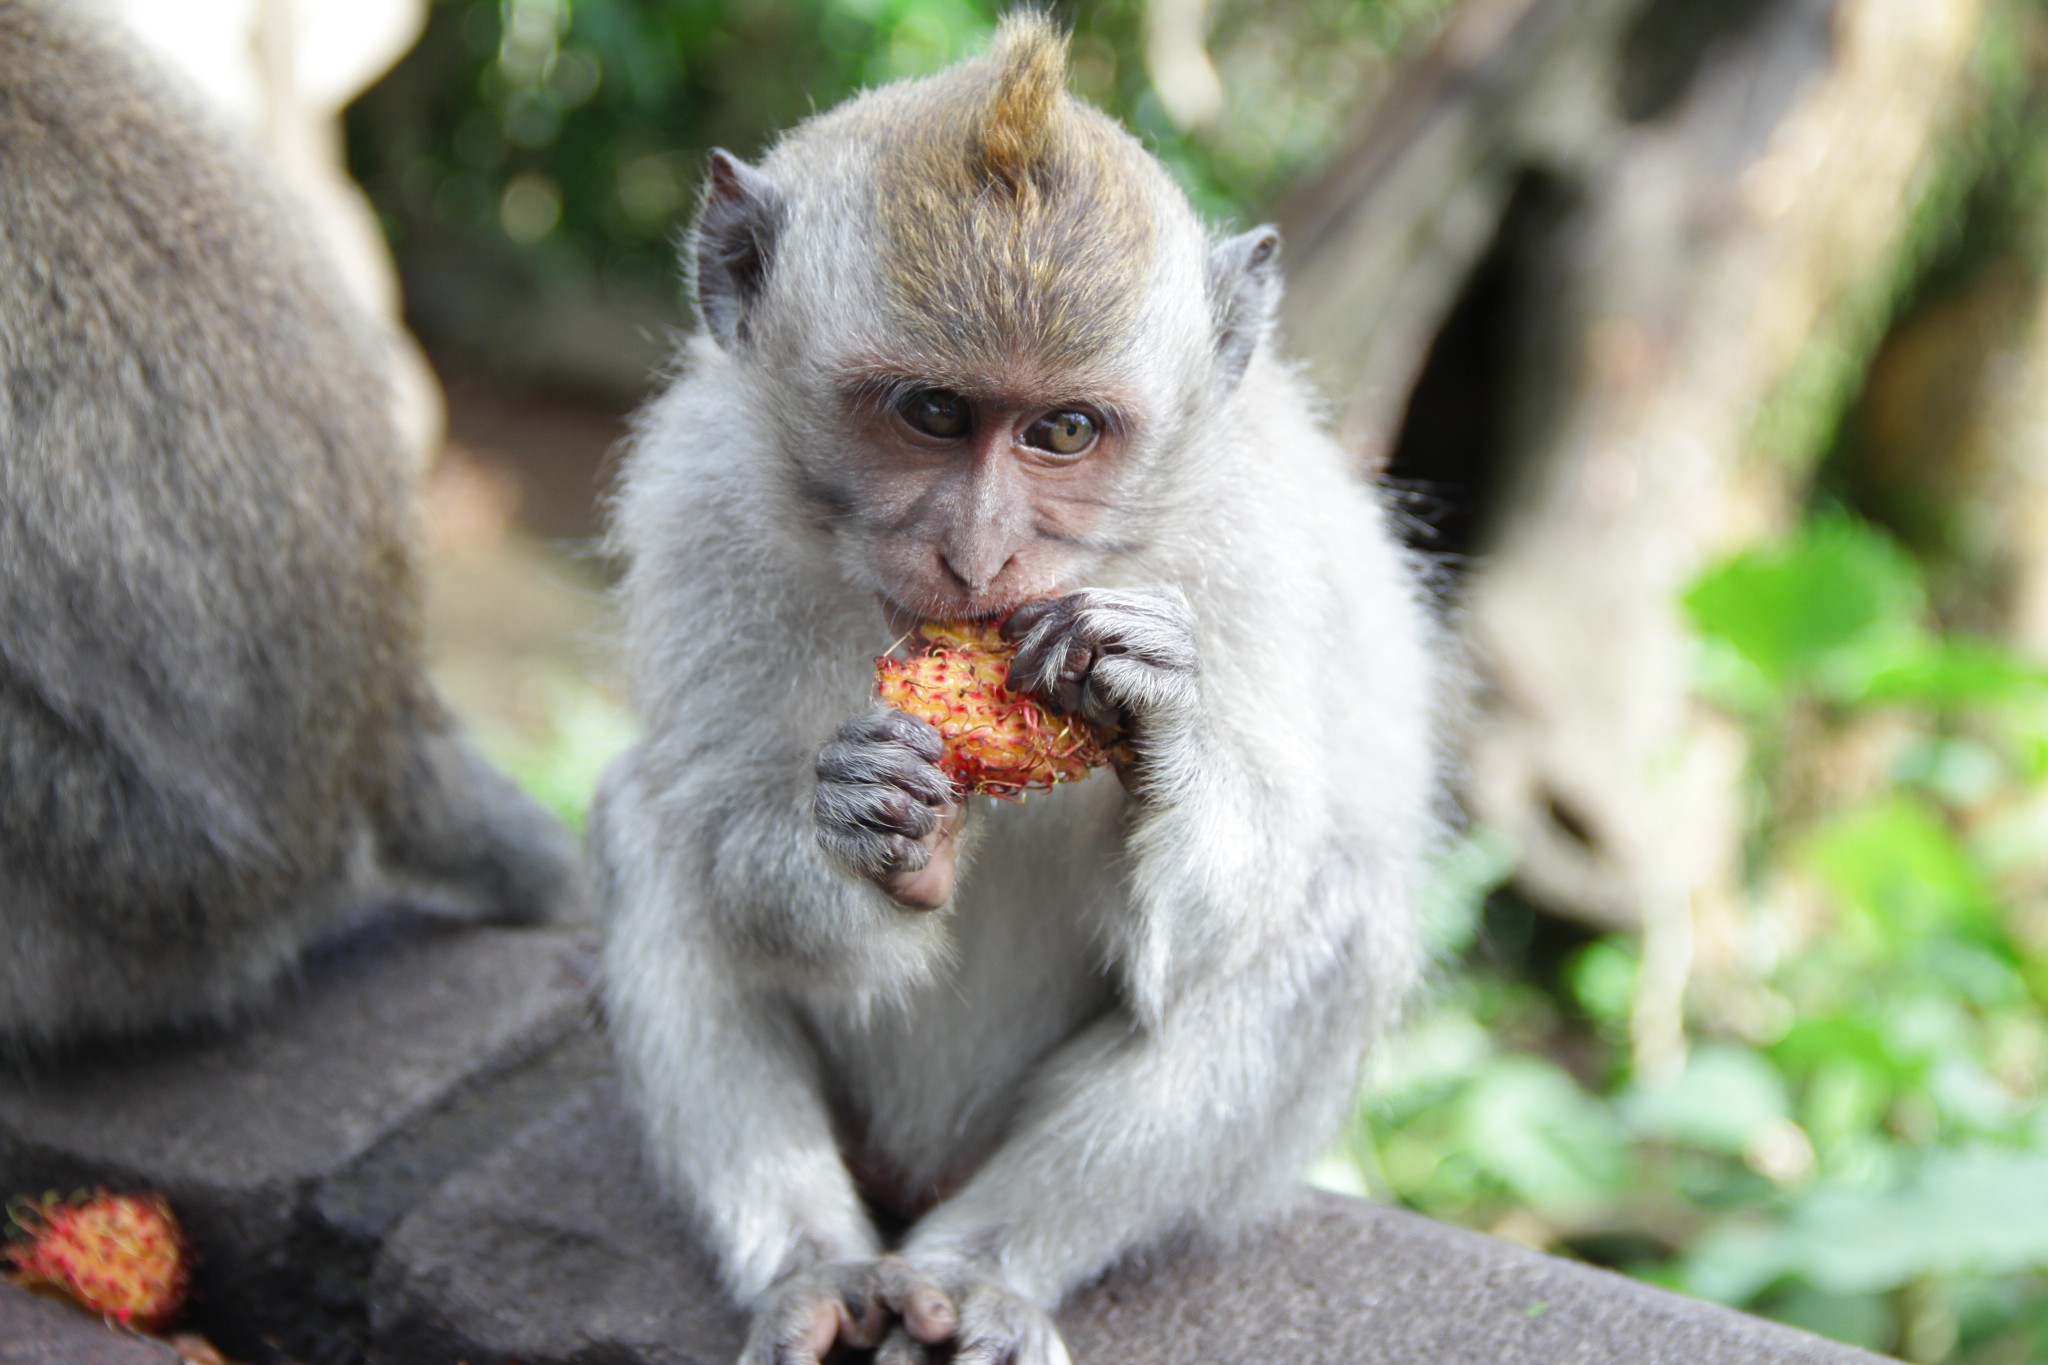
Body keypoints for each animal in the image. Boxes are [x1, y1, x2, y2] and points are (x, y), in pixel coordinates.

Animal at [593, 13, 1441, 1365]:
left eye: (1063, 432)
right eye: (934, 412)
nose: (979, 556)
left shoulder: (1257, 543)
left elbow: (1229, 912)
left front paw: (1157, 718)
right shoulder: (699, 500)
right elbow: (727, 833)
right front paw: (877, 832)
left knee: (1326, 910)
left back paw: (979, 1274)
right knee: (656, 835)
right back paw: (819, 1269)